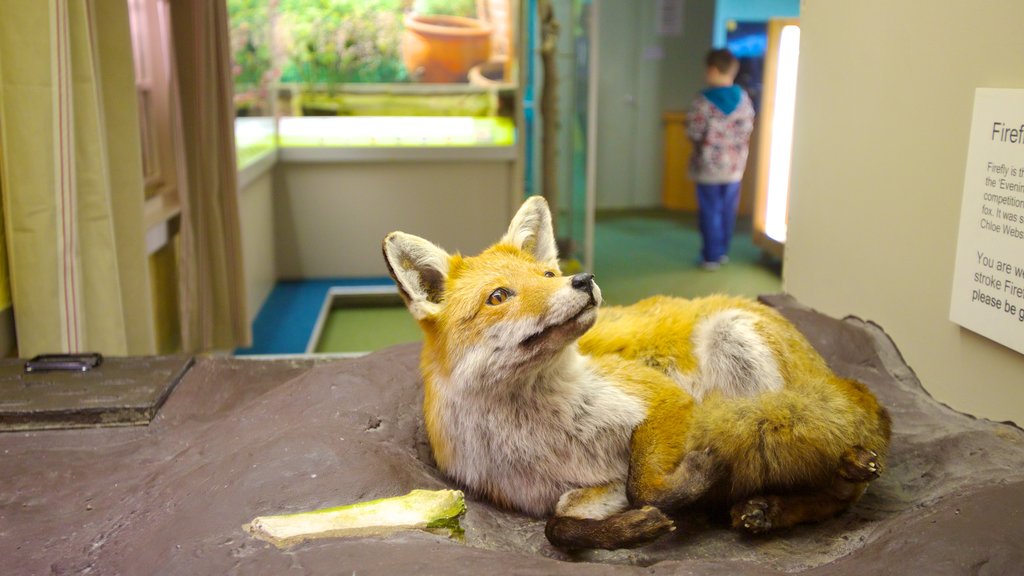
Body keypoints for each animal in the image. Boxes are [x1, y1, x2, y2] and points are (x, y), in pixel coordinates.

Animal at [382, 195, 888, 545]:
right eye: (499, 296)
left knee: (827, 463)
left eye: (548, 276)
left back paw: (845, 466)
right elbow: (558, 524)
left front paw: (695, 478)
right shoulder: (588, 488)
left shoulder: (663, 398)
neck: (540, 430)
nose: (582, 279)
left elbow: (644, 484)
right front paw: (633, 530)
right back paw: (769, 509)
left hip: (734, 338)